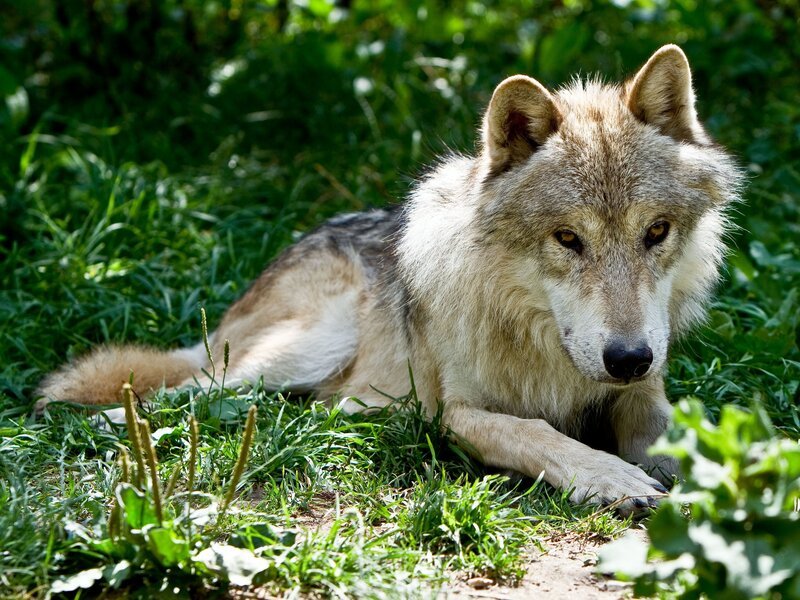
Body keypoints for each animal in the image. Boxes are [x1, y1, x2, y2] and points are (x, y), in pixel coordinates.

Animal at [37, 45, 741, 514]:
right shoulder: (456, 413)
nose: (628, 357)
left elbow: (676, 431)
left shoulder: (643, 390)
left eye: (656, 232)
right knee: (187, 392)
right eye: (568, 239)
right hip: (304, 348)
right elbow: (537, 433)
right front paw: (611, 477)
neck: (544, 349)